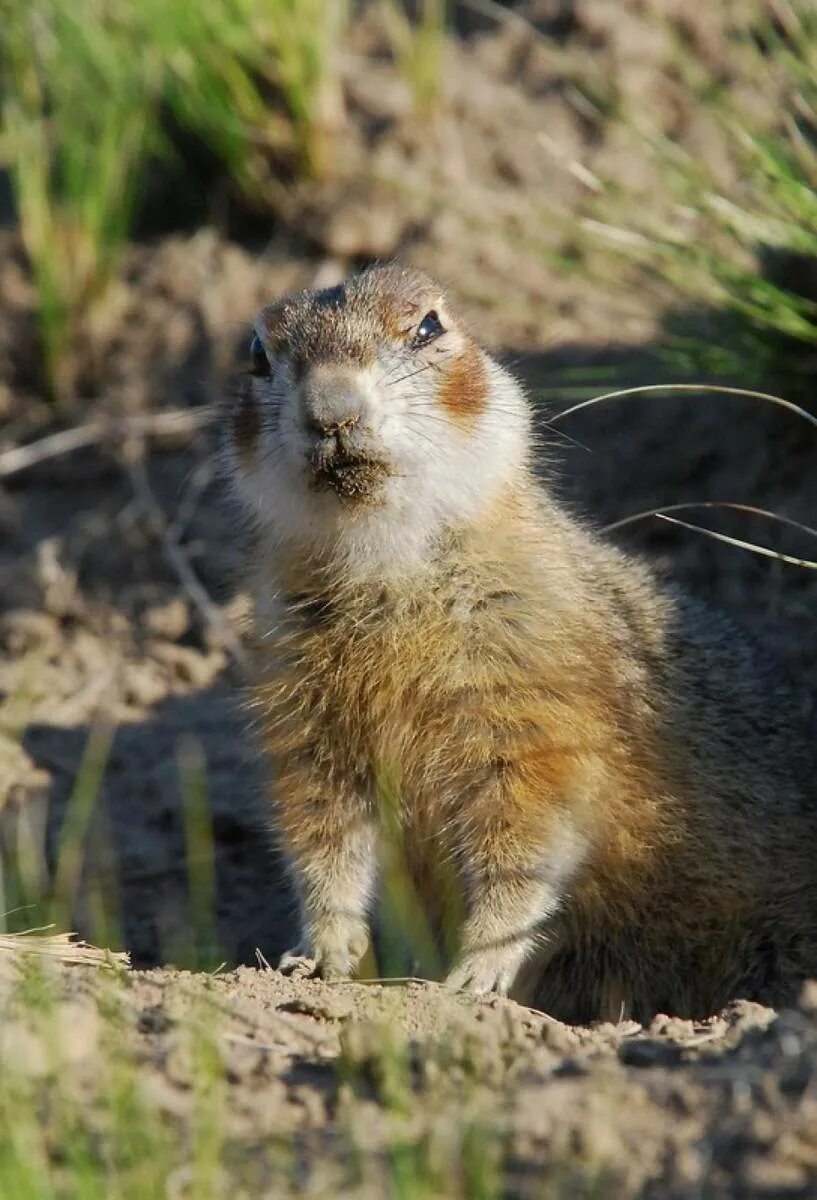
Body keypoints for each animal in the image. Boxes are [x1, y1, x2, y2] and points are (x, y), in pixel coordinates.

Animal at [221, 262, 815, 1022]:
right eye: (257, 355)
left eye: (428, 325)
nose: (331, 411)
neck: (385, 561)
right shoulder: (299, 702)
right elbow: (321, 831)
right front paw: (325, 953)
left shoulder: (535, 687)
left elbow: (526, 829)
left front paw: (477, 970)